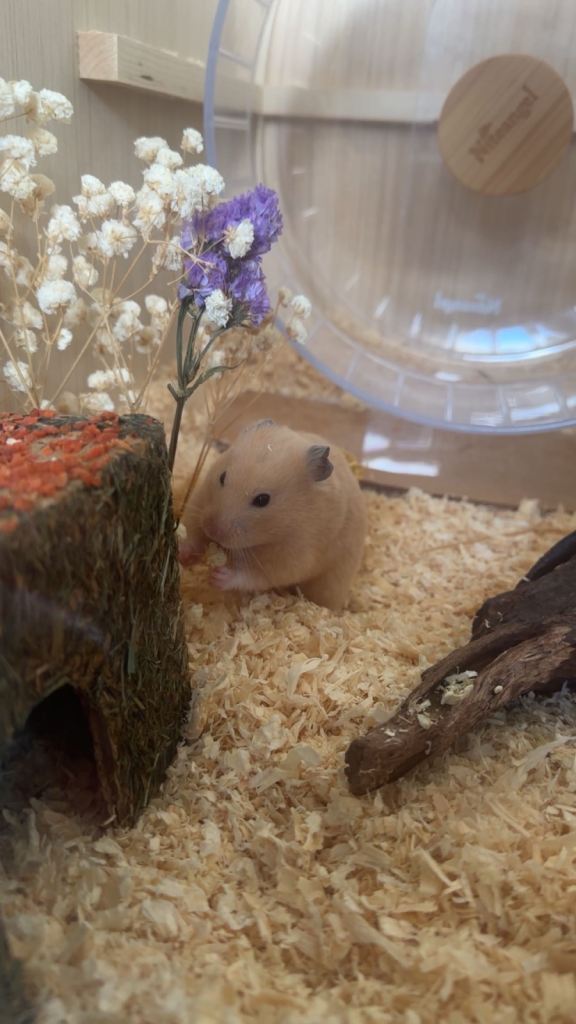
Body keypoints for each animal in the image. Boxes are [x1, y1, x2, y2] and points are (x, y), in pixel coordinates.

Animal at [179, 419, 366, 611]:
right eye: (222, 477)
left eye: (262, 500)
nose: (212, 530)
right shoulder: (200, 498)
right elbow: (193, 533)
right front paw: (182, 552)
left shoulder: (292, 556)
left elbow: (255, 575)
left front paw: (218, 577)